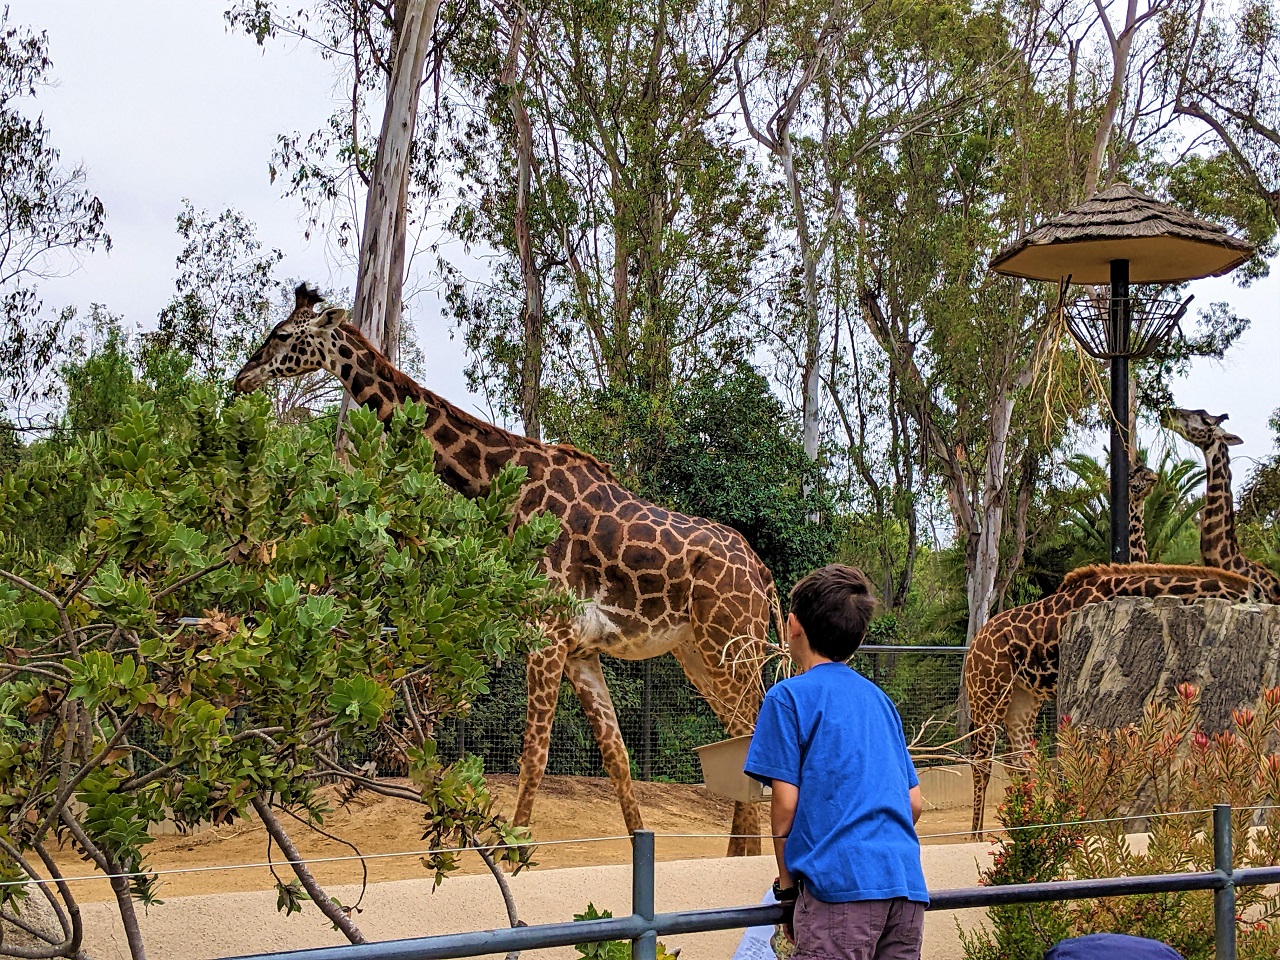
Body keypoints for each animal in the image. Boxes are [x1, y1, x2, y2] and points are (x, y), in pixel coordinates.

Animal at [233, 285, 783, 856]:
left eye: (283, 334)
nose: (241, 378)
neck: (508, 482)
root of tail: (764, 576)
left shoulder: (546, 633)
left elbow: (534, 753)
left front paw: (512, 849)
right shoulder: (579, 648)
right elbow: (616, 756)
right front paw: (636, 849)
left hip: (728, 648)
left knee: (750, 738)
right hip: (697, 652)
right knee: (740, 736)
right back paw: (739, 854)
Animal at [965, 562, 1254, 835]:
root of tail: (973, 646)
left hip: (1022, 698)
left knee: (1018, 761)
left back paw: (1027, 826)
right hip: (988, 694)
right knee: (981, 762)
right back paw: (977, 836)